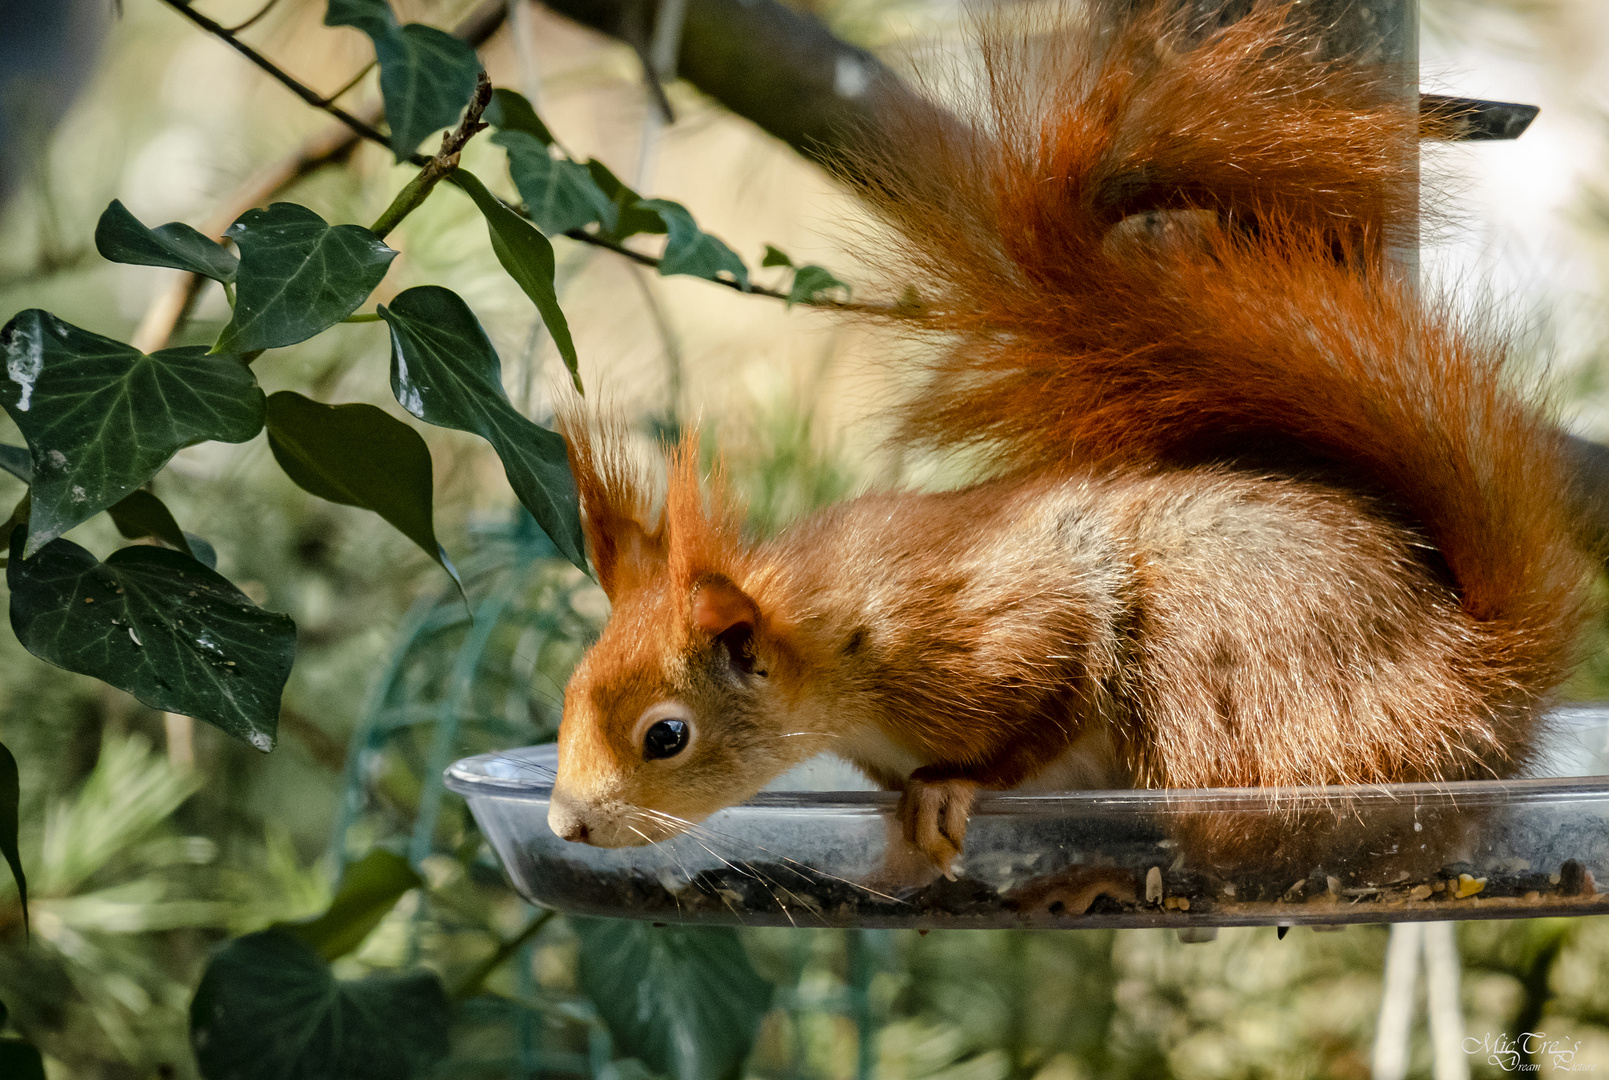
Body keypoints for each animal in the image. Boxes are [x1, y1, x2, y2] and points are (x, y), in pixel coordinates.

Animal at [543, 2, 1596, 875]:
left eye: (666, 735)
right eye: (569, 689)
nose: (566, 824)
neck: (835, 643)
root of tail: (1476, 675)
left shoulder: (999, 635)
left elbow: (1042, 710)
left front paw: (949, 792)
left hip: (1222, 668)